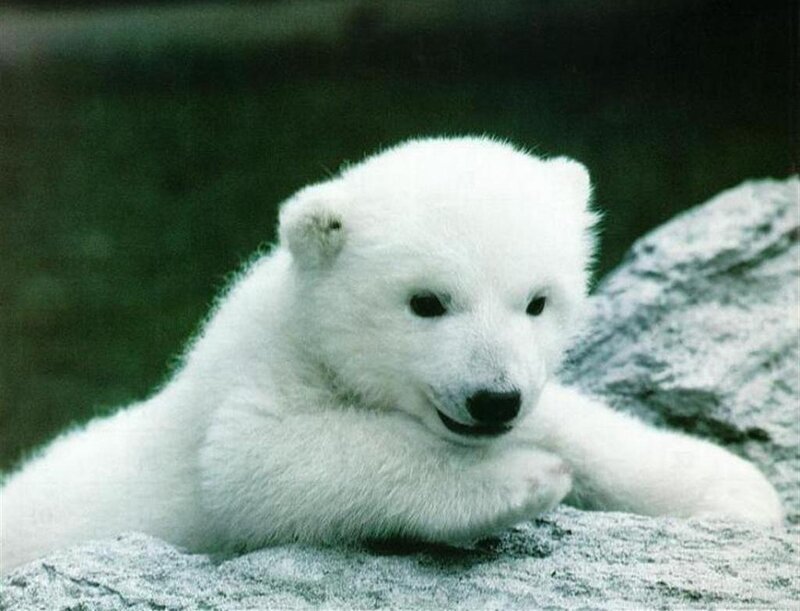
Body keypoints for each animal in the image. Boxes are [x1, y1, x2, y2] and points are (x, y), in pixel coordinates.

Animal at [0, 136, 783, 572]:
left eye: (537, 301)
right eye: (427, 302)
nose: (493, 398)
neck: (307, 332)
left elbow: (575, 421)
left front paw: (734, 488)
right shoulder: (249, 389)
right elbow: (259, 463)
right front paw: (522, 479)